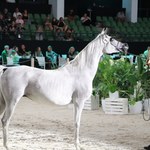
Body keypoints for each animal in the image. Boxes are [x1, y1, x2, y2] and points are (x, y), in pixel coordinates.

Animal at [0, 28, 129, 150]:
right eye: (111, 39)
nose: (125, 46)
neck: (81, 71)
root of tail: (7, 69)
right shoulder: (79, 102)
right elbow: (77, 123)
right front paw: (78, 146)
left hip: (3, 102)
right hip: (12, 102)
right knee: (5, 121)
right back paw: (7, 146)